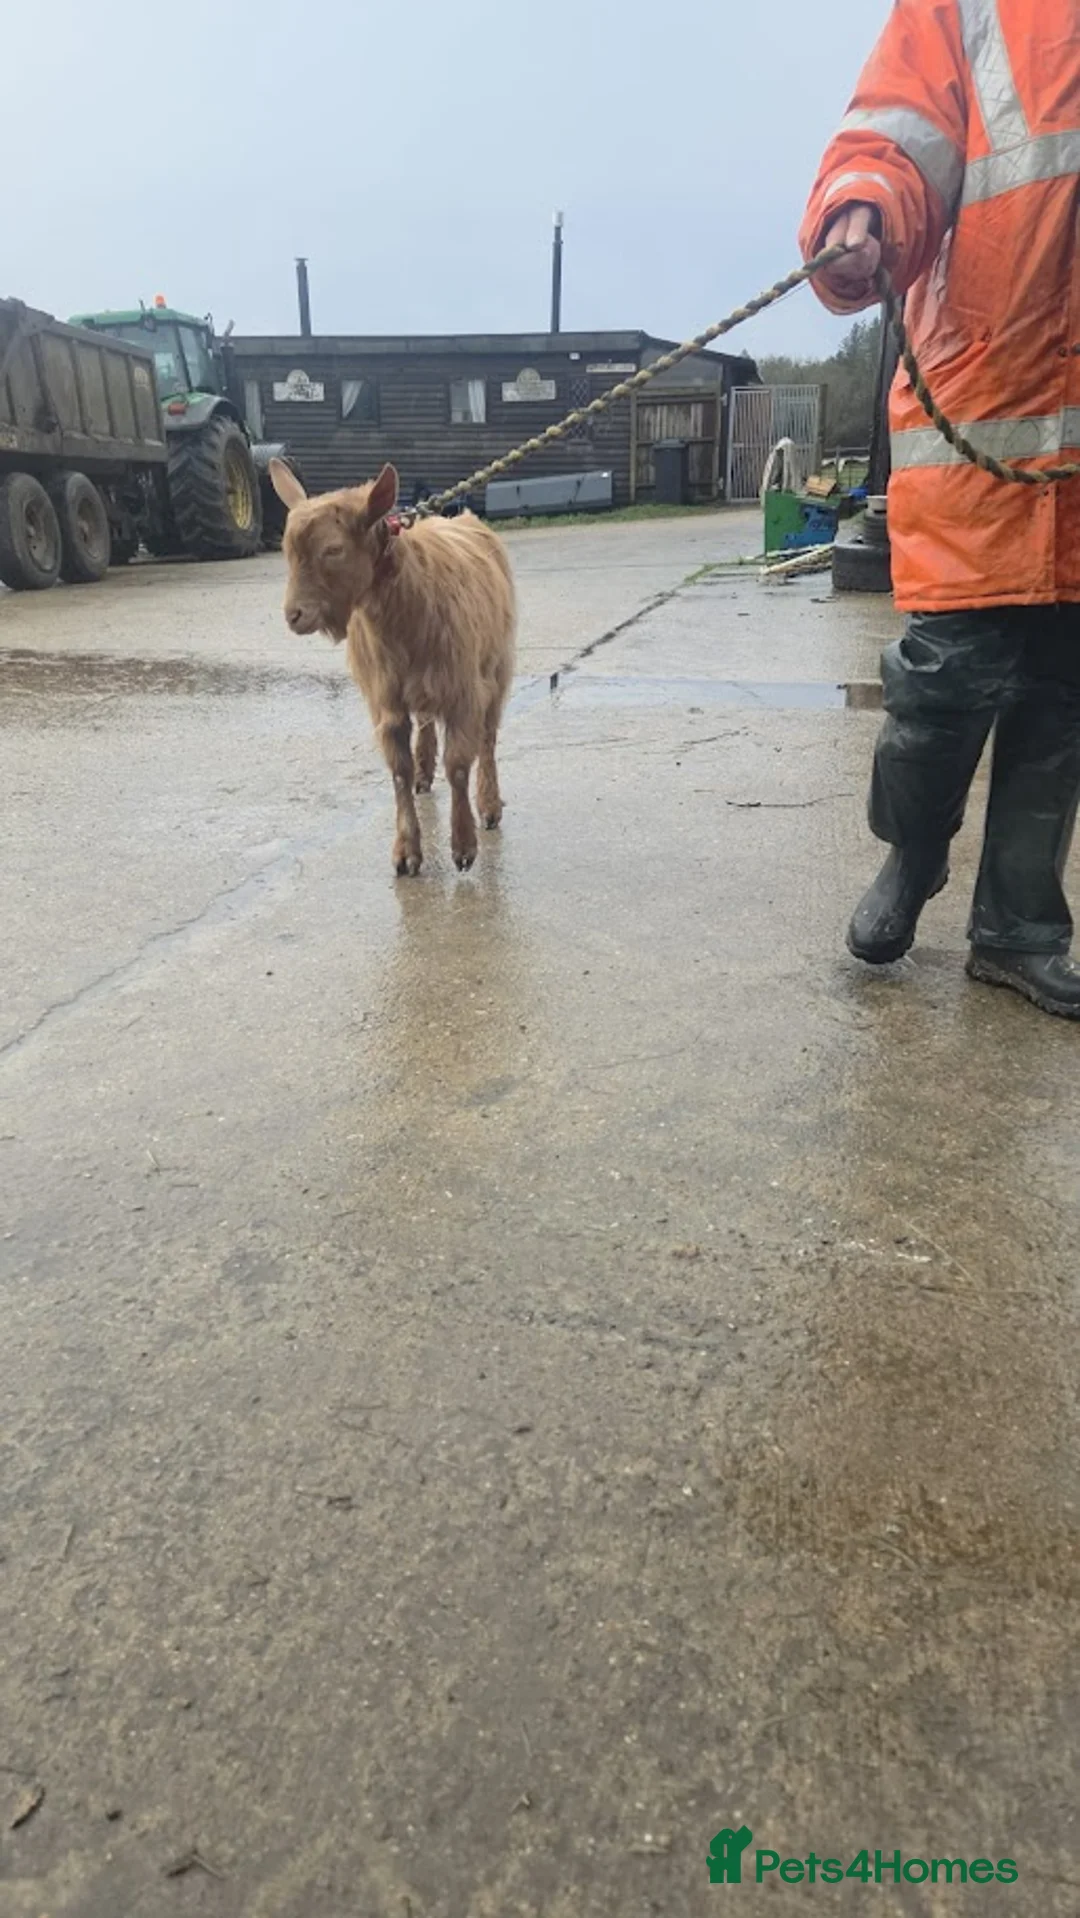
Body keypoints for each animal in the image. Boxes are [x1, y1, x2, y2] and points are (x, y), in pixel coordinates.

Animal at [270, 462, 515, 875]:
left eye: (333, 549)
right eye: (287, 551)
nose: (294, 615)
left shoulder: (464, 690)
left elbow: (458, 766)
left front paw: (464, 847)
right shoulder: (385, 700)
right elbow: (399, 770)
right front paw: (406, 853)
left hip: (497, 668)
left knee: (488, 738)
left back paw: (489, 805)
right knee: (428, 722)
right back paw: (424, 772)